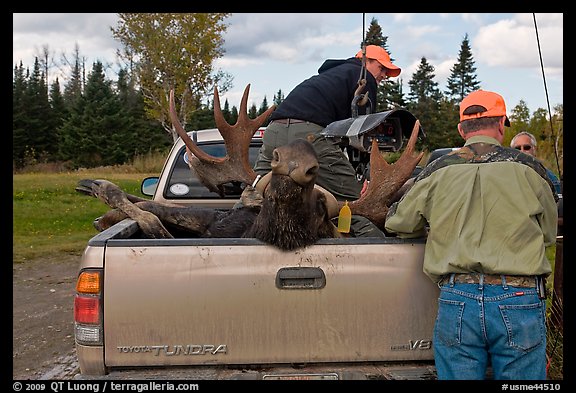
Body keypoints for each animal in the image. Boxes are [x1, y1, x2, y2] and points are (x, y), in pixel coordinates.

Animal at [76, 84, 424, 250]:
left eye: (322, 208)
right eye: (266, 194)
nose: (295, 157)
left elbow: (152, 220)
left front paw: (105, 207)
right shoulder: (216, 221)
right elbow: (150, 206)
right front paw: (99, 197)